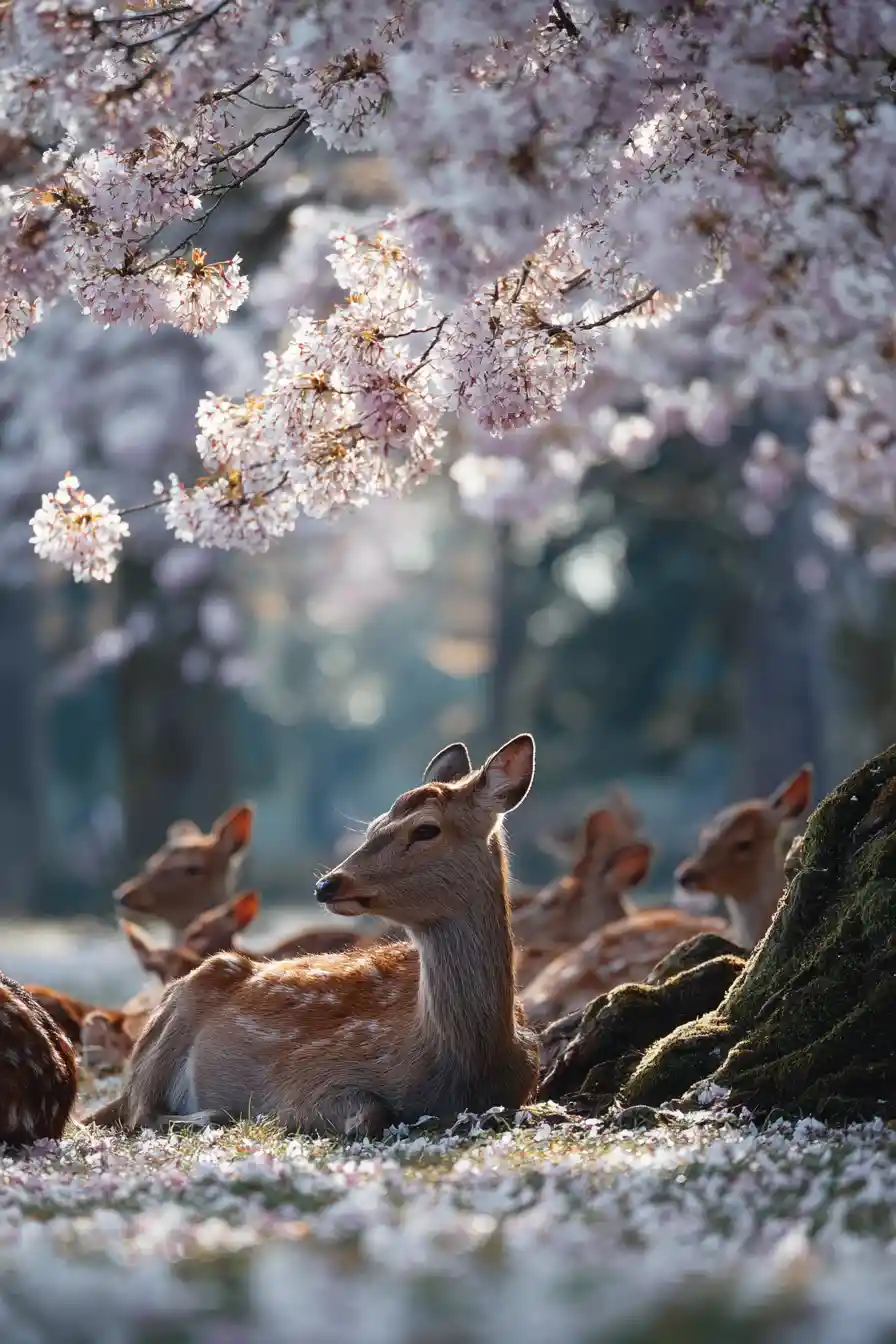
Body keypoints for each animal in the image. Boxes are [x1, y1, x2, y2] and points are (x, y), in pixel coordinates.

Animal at [88, 736, 541, 1138]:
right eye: (373, 825)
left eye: (426, 829)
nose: (328, 884)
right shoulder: (302, 1076)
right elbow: (368, 1114)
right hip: (173, 1022)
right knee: (138, 1113)